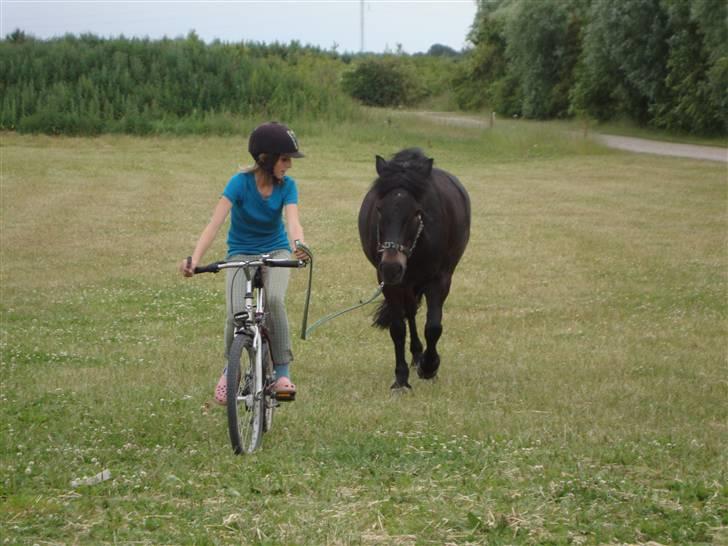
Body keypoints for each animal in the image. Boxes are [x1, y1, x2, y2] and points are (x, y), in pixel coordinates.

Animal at [358, 148, 472, 386]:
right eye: (379, 209)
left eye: (417, 213)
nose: (392, 267)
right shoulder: (389, 282)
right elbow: (398, 329)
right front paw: (401, 379)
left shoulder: (439, 279)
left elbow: (434, 326)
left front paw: (429, 367)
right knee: (409, 312)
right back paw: (416, 354)